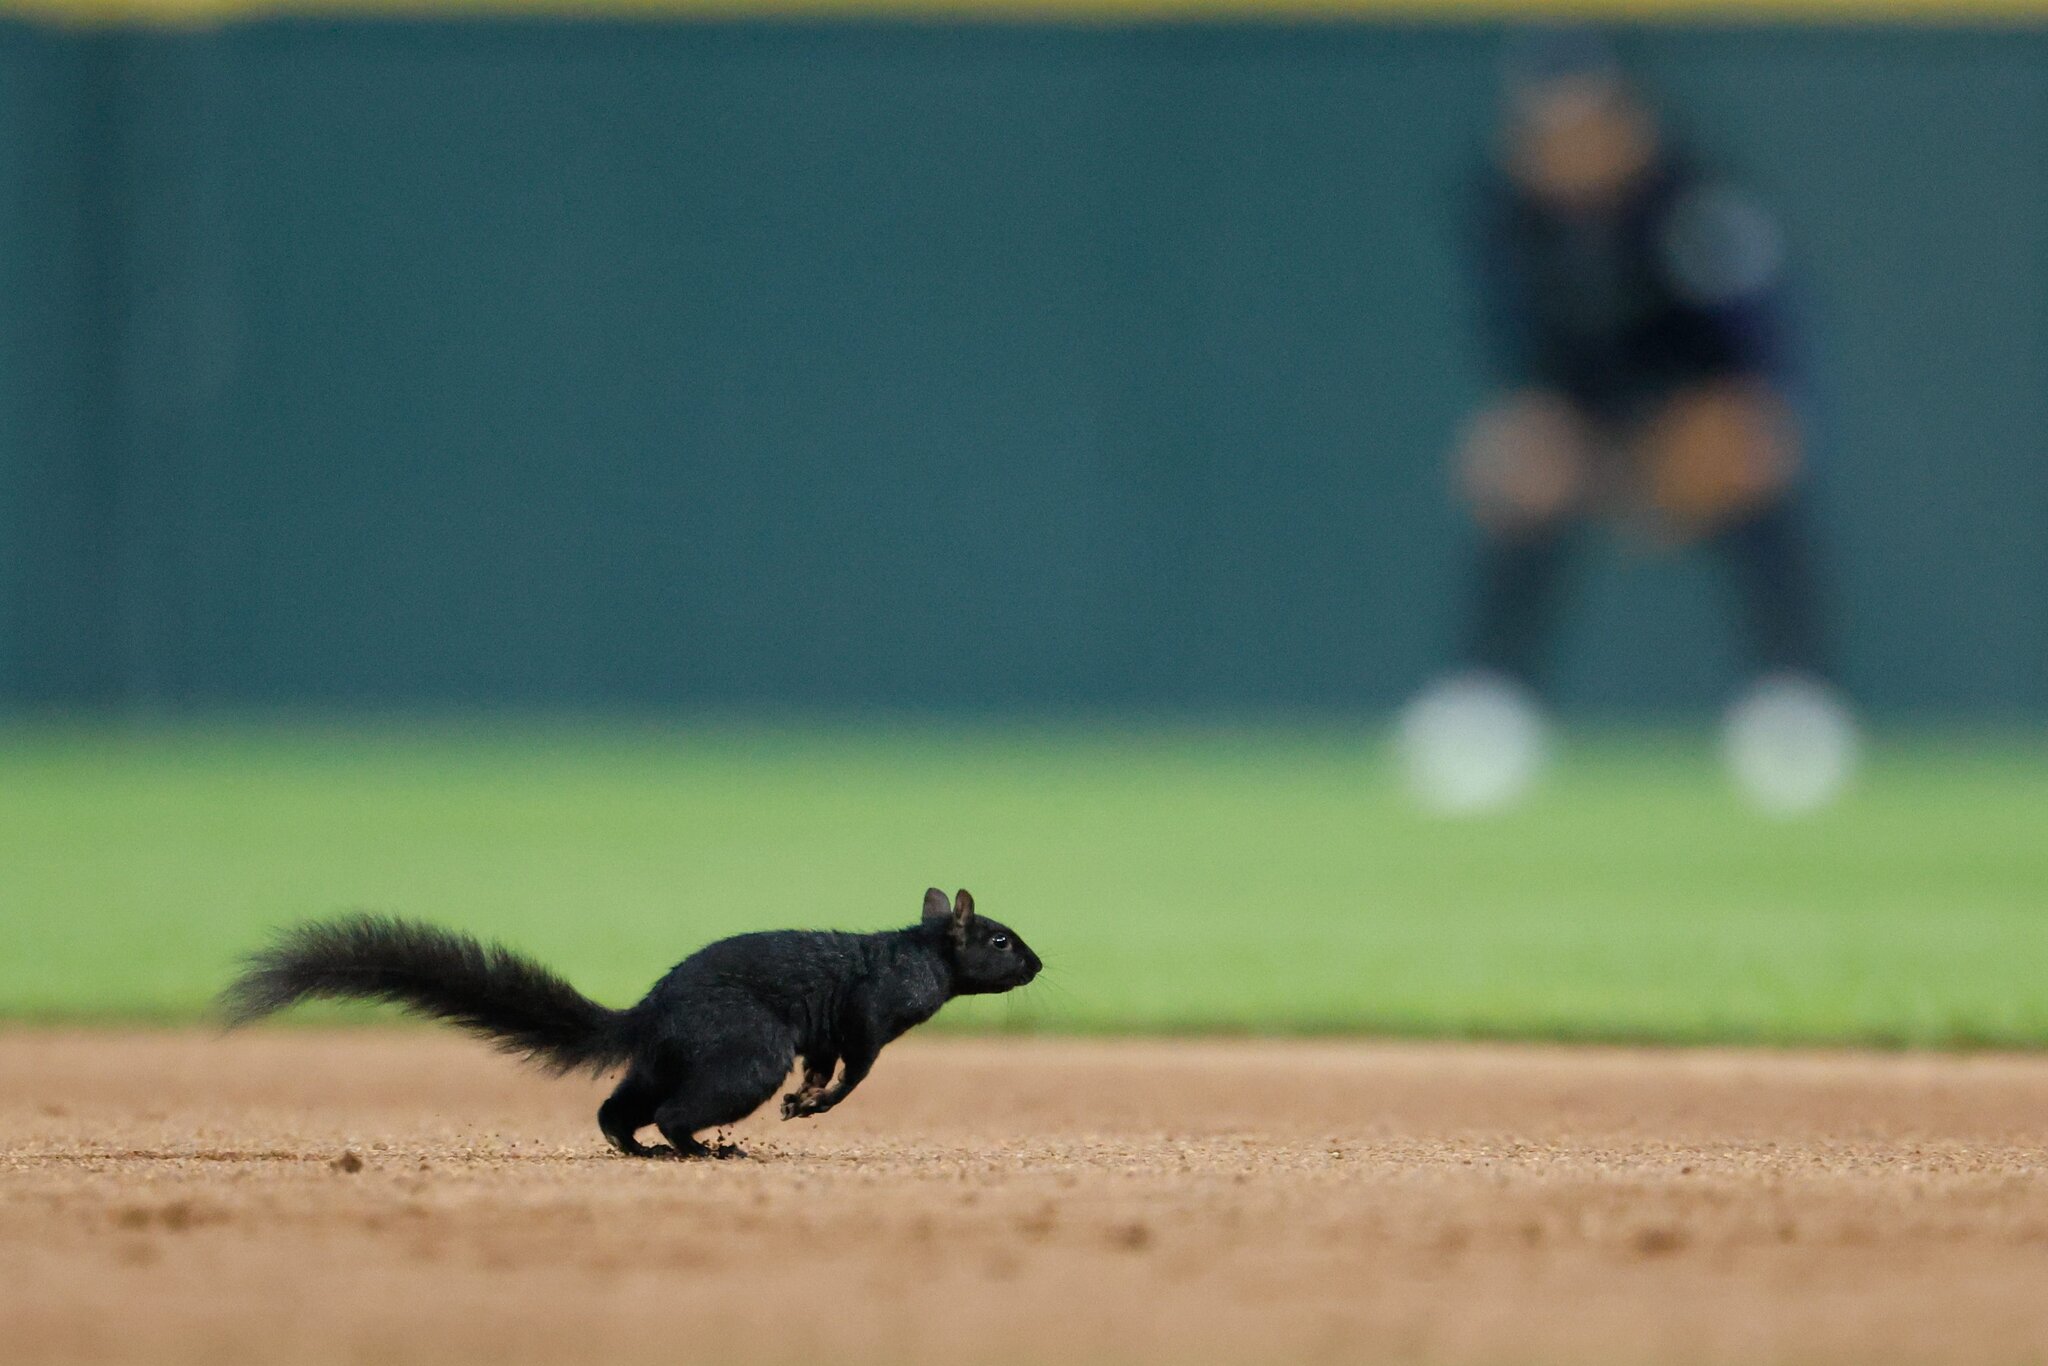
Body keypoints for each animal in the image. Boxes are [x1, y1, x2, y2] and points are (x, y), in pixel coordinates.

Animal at [220, 886, 1040, 1159]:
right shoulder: (870, 1017)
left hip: (665, 1061)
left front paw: (805, 1100)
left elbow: (824, 1064)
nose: (1037, 964)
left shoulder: (834, 1034)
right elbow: (854, 1071)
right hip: (742, 1055)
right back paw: (702, 1151)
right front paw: (812, 1105)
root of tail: (648, 1014)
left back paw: (635, 1148)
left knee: (619, 1106)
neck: (920, 955)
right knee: (676, 1111)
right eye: (1000, 940)